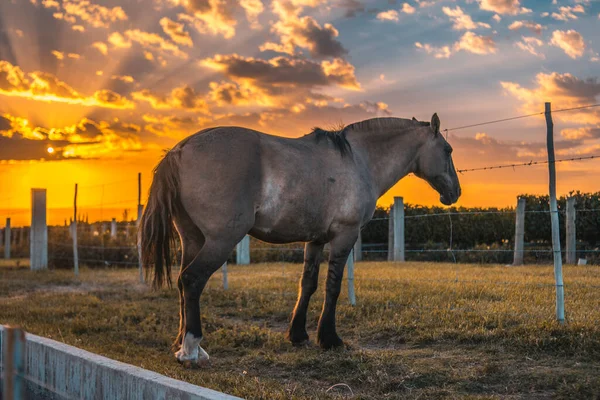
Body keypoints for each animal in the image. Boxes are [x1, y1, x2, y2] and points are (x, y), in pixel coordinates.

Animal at [139, 113, 460, 366]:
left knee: (182, 282)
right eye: (447, 149)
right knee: (192, 280)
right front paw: (329, 338)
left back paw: (183, 344)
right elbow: (332, 286)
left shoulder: (315, 239)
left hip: (192, 239)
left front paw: (298, 334)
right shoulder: (345, 235)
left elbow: (308, 284)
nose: (454, 193)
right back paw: (191, 350)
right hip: (221, 240)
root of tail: (179, 151)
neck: (358, 160)